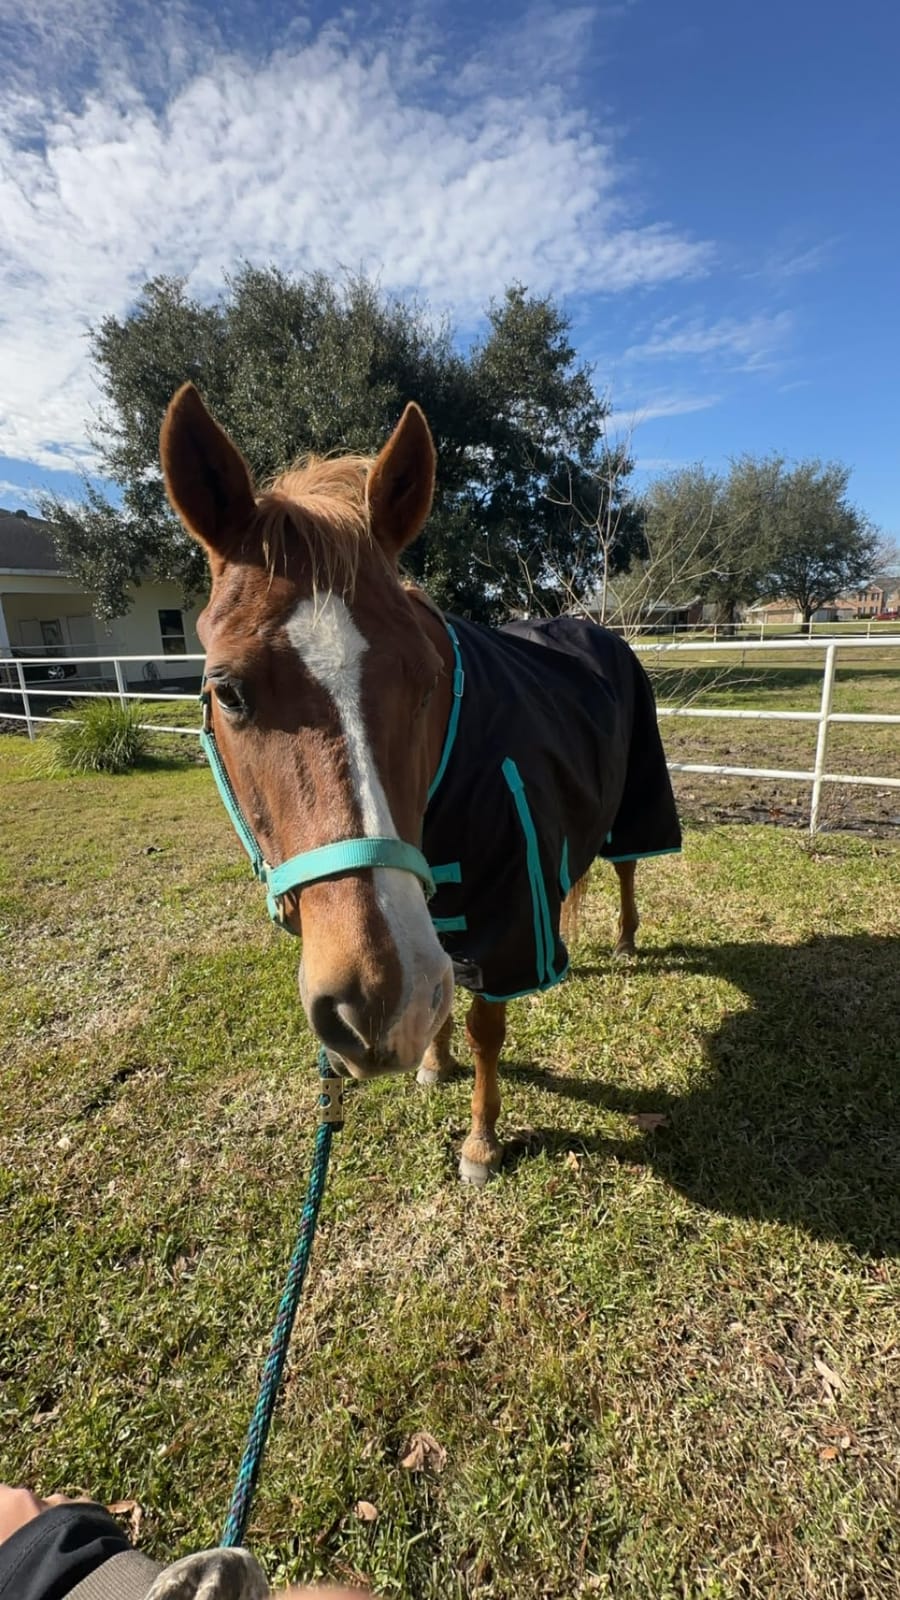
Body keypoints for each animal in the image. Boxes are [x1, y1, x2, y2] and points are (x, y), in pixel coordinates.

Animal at [160, 386, 681, 1184]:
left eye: (426, 679)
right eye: (229, 691)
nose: (373, 1008)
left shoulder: (506, 910)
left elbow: (485, 1021)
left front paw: (482, 1141)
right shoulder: (445, 906)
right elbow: (446, 991)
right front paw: (433, 1062)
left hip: (638, 798)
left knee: (626, 866)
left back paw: (625, 940)